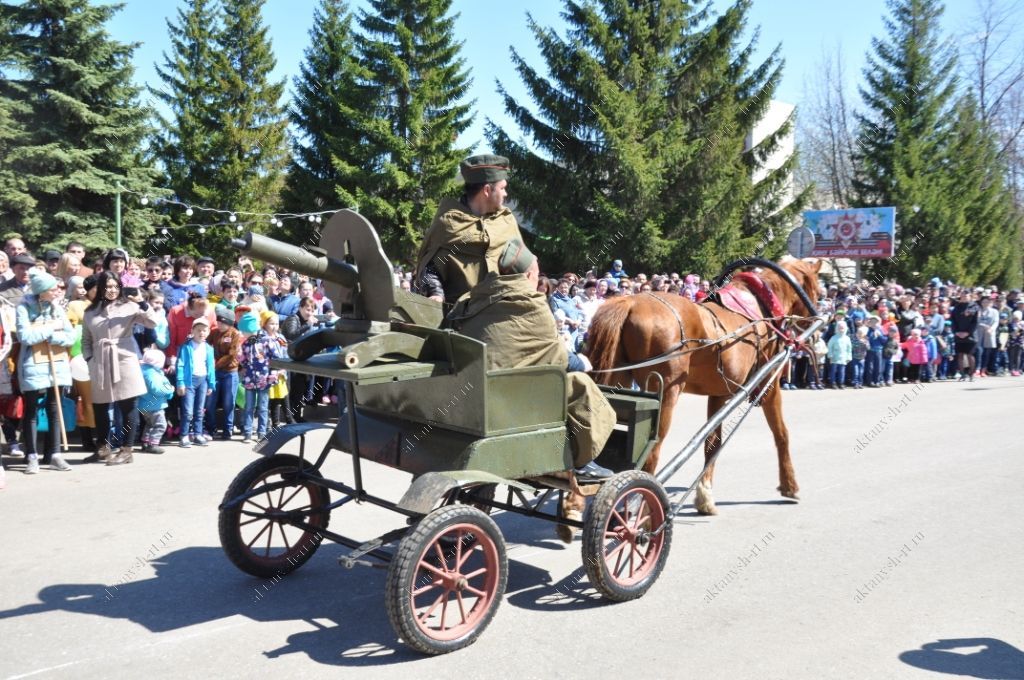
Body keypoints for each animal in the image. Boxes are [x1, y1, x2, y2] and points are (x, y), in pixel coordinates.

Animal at [565, 258, 819, 528]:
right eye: (817, 287)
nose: (816, 325)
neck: (760, 308)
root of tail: (629, 302)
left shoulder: (719, 393)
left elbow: (712, 442)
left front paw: (705, 496)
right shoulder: (769, 383)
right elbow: (781, 433)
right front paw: (790, 485)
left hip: (616, 379)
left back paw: (574, 503)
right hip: (665, 393)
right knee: (652, 453)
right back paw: (642, 512)